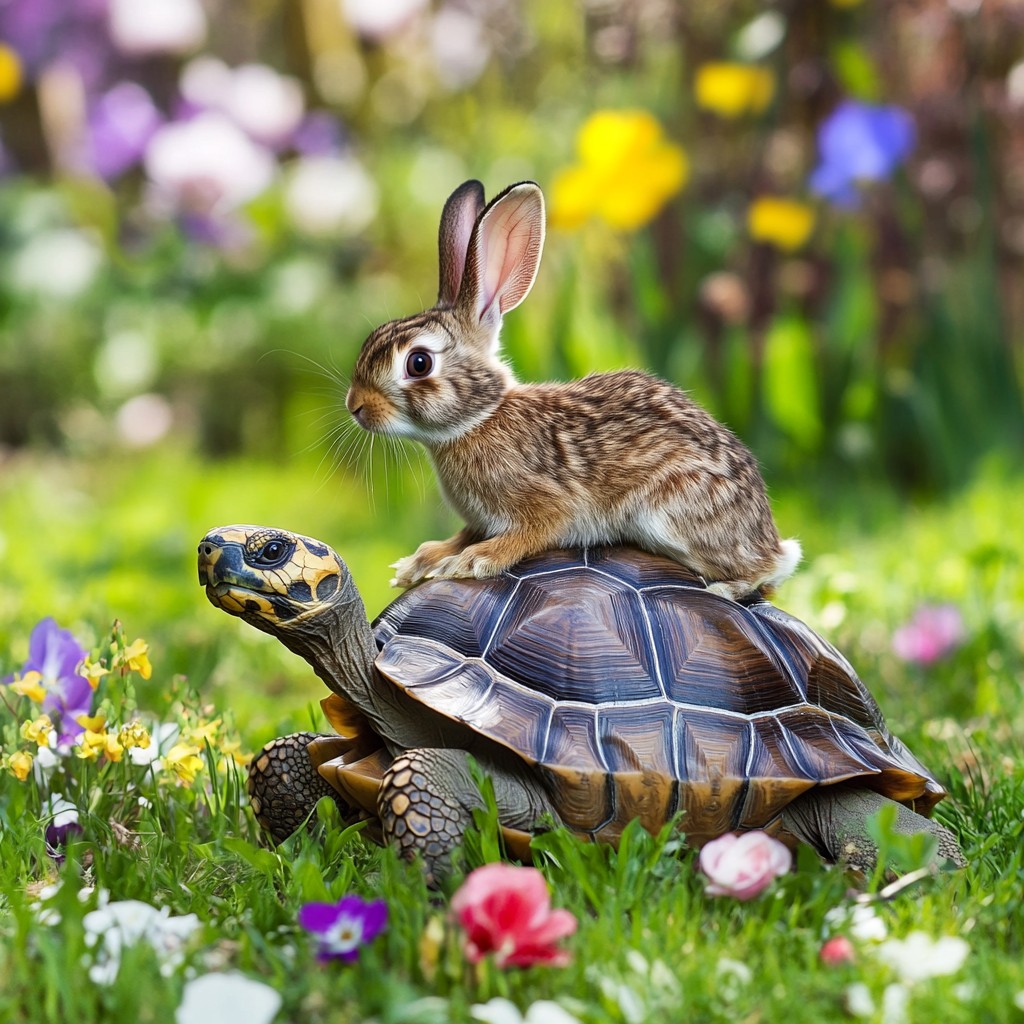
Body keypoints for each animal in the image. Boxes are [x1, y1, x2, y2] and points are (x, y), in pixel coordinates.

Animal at [345, 179, 801, 601]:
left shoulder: (546, 504)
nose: (356, 406)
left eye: (419, 363)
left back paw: (727, 588)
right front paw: (421, 561)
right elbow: (461, 534)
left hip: (671, 513)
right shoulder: (480, 518)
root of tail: (768, 536)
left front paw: (475, 560)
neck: (480, 418)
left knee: (764, 572)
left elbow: (530, 533)